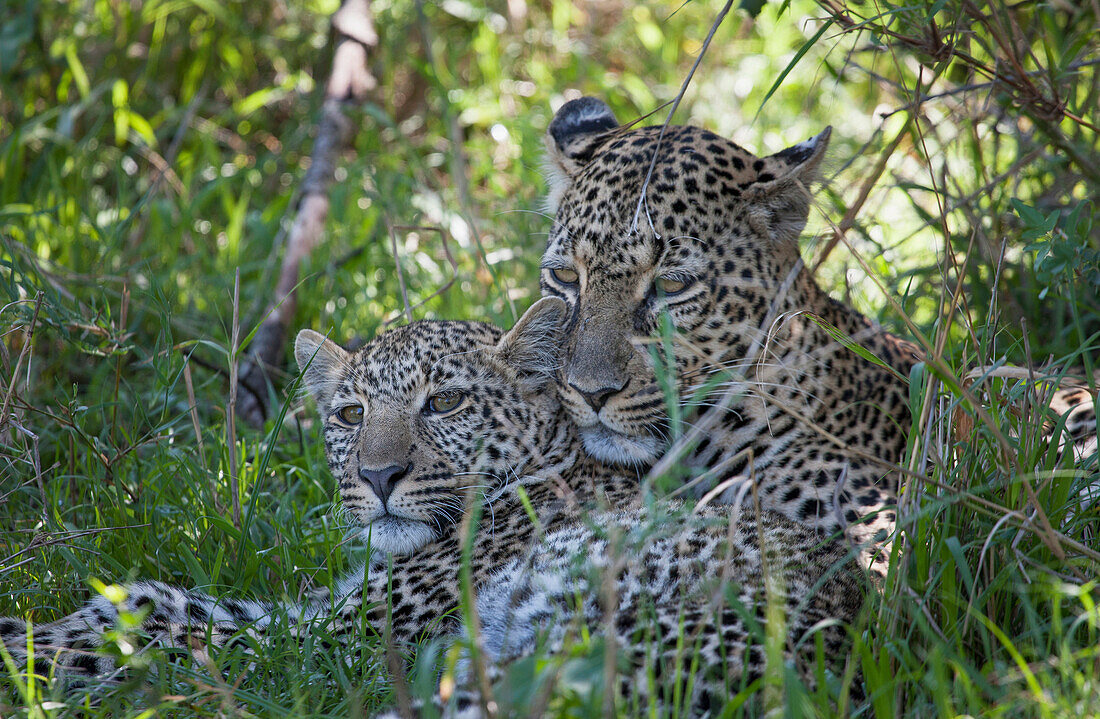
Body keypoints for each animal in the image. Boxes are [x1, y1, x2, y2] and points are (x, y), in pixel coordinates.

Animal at [0, 299, 866, 716]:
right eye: (350, 413)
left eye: (444, 402)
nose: (380, 474)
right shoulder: (319, 610)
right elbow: (159, 597)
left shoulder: (336, 638)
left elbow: (163, 620)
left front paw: (33, 656)